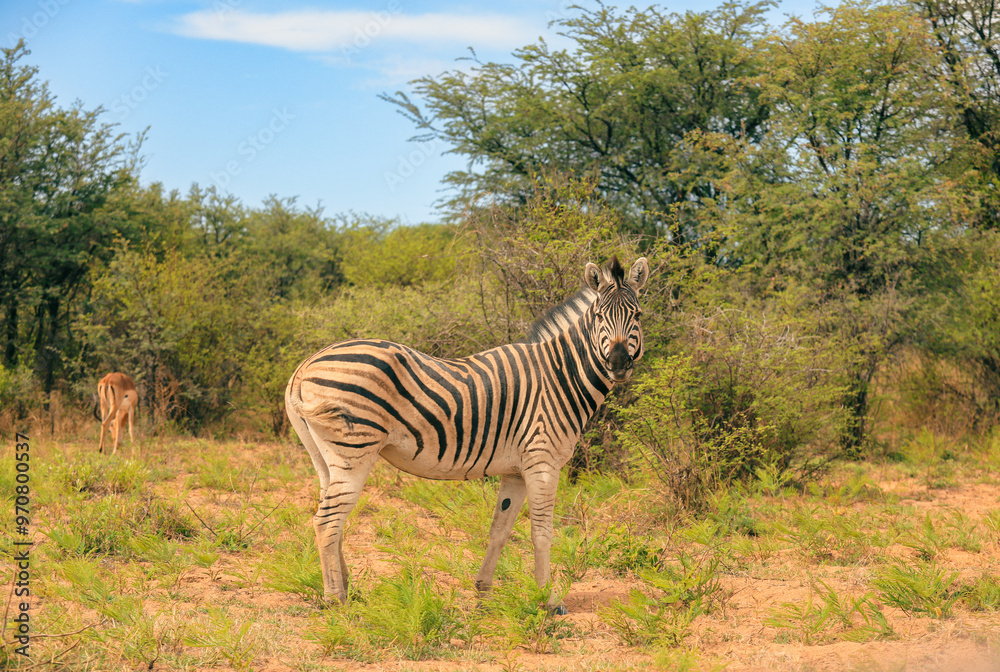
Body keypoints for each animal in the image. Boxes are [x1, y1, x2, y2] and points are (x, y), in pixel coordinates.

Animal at [284, 256, 649, 611]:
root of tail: (306, 364)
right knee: (327, 522)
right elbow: (542, 532)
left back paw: (346, 588)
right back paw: (336, 601)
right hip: (354, 450)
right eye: (599, 317)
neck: (560, 375)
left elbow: (499, 529)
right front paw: (548, 600)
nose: (618, 364)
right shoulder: (542, 461)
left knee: (332, 516)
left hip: (324, 458)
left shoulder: (516, 470)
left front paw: (483, 592)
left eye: (637, 315)